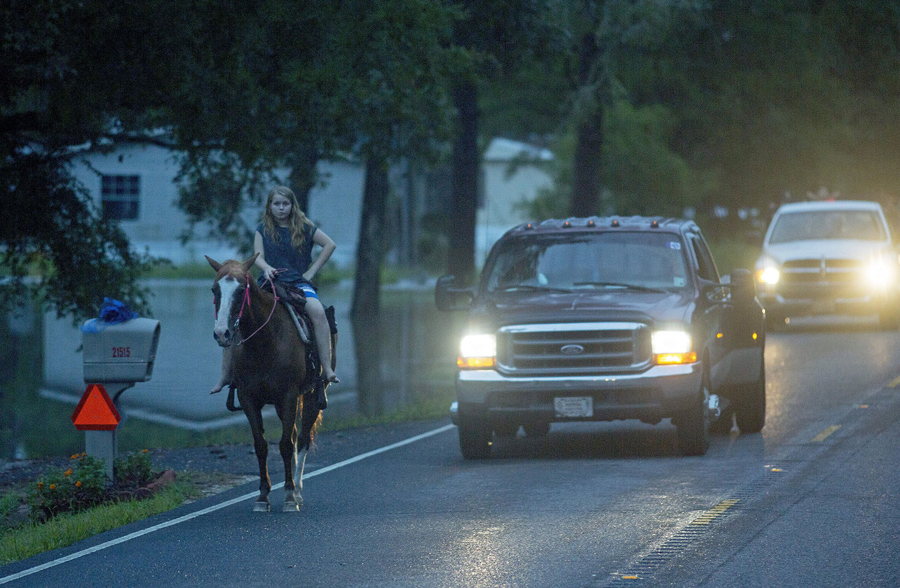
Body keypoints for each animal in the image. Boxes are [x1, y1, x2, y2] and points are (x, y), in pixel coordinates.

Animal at [206, 255, 322, 512]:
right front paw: (262, 496)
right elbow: (261, 445)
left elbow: (286, 445)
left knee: (302, 439)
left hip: (310, 396)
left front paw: (289, 496)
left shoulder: (288, 396)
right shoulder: (248, 399)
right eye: (214, 289)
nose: (222, 333)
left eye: (241, 290)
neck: (264, 342)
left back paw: (297, 491)